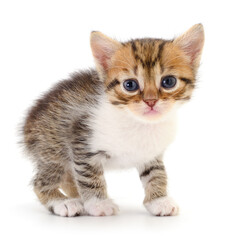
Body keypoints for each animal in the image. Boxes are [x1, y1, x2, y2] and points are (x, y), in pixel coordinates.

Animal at [21, 23, 204, 217]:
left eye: (169, 82)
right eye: (130, 85)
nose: (151, 101)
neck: (137, 122)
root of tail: (28, 122)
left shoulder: (151, 153)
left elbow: (156, 173)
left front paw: (159, 200)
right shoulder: (82, 139)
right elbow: (89, 175)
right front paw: (98, 204)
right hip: (52, 146)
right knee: (43, 180)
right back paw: (63, 202)